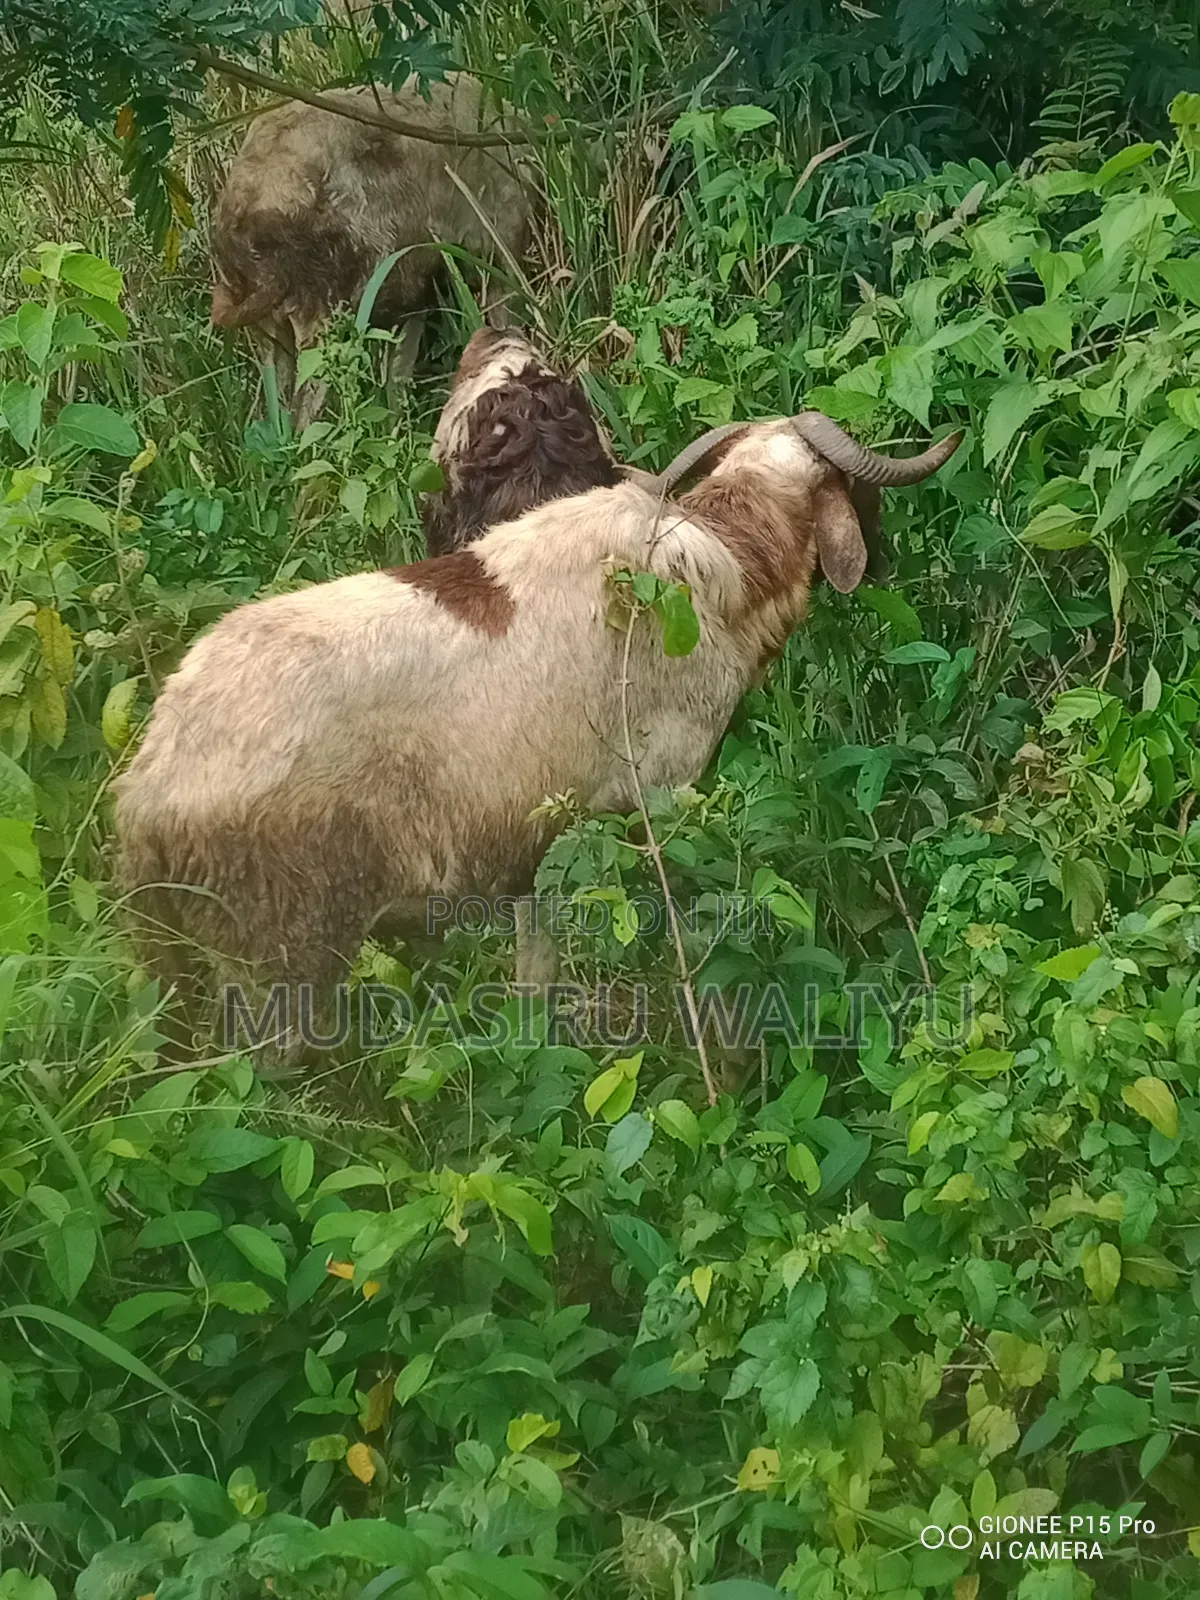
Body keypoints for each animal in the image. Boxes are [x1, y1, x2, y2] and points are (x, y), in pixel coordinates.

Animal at [113, 412, 960, 1059]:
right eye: (859, 491)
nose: (887, 562)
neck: (725, 559)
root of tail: (149, 787)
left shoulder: (539, 841)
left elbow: (534, 964)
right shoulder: (661, 797)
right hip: (282, 955)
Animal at [209, 73, 532, 427]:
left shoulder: (413, 294)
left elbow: (398, 380)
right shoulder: (499, 254)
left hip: (271, 331)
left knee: (277, 413)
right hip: (322, 318)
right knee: (306, 413)